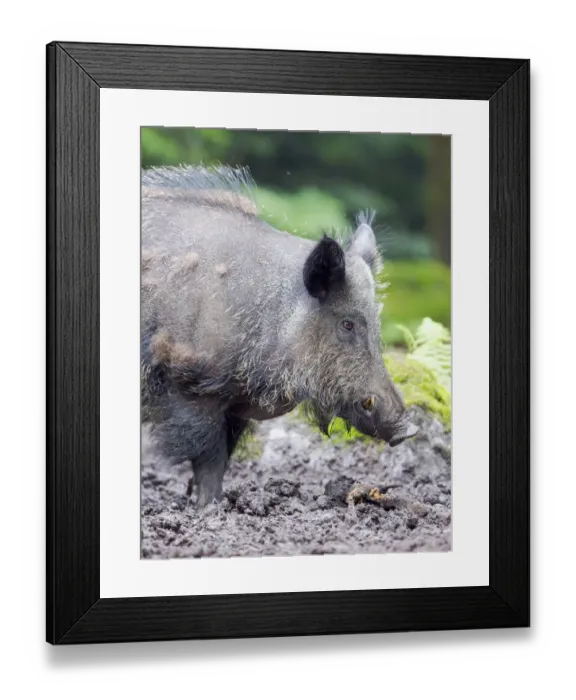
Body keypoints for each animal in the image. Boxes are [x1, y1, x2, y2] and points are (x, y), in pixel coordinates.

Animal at [141, 165, 418, 507]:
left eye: (376, 324)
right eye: (347, 324)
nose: (409, 429)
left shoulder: (233, 406)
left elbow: (223, 459)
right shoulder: (189, 382)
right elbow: (208, 458)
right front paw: (209, 507)